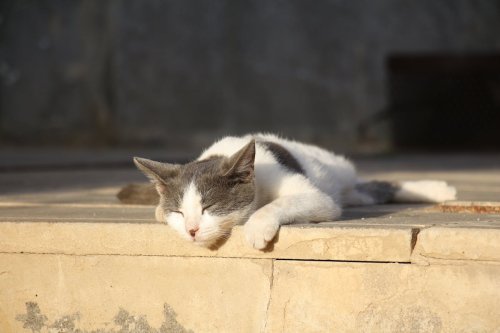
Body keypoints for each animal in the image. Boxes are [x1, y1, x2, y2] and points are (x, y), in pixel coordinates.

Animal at [118, 132, 458, 249]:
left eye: (209, 207)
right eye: (179, 212)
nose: (191, 230)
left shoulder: (312, 194)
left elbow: (286, 203)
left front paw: (257, 229)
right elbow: (158, 211)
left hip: (335, 173)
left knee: (370, 186)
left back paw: (439, 189)